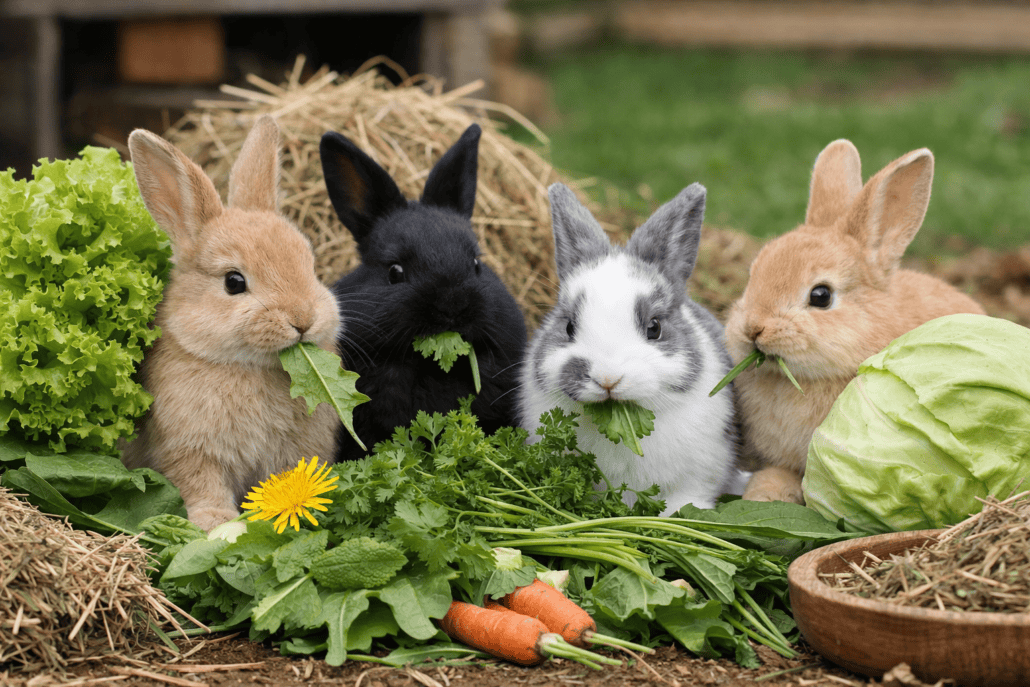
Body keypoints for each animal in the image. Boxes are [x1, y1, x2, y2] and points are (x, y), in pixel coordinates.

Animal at [120, 115, 342, 531]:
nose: (303, 319)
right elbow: (200, 483)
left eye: (310, 264)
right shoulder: (190, 451)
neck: (248, 367)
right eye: (233, 282)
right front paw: (215, 520)